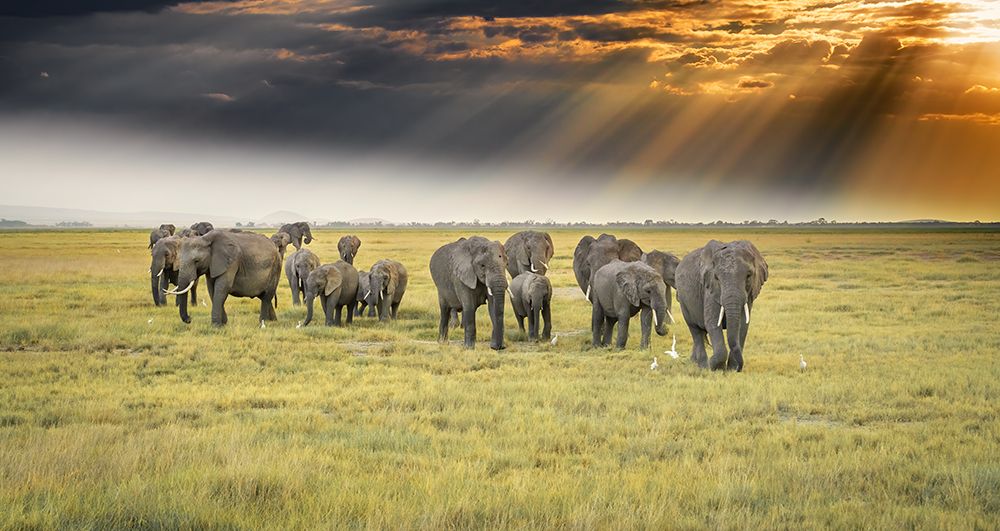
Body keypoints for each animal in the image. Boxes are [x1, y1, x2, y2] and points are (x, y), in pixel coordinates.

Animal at [675, 240, 768, 372]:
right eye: (716, 278)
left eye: (749, 276)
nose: (739, 368)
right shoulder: (709, 290)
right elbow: (713, 322)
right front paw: (716, 367)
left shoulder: (749, 295)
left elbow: (743, 325)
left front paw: (732, 369)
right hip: (683, 300)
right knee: (695, 330)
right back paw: (703, 366)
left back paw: (694, 362)